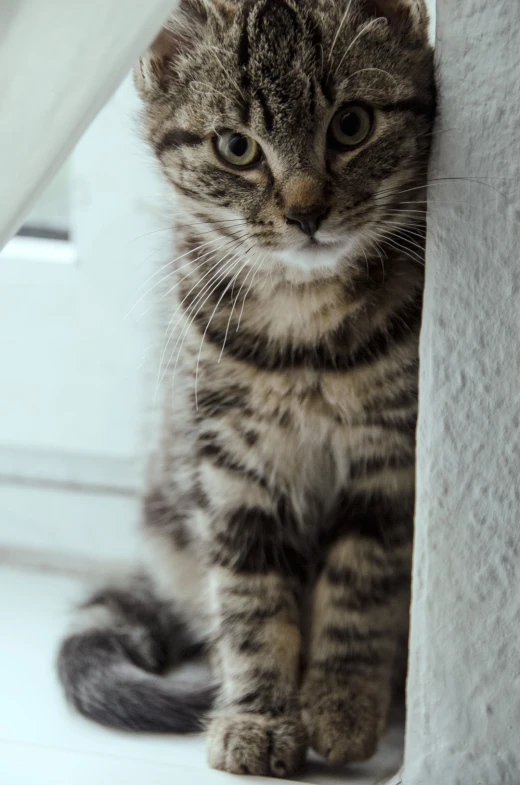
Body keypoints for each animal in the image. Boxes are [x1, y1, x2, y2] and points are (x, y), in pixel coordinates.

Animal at [59, 0, 436, 772]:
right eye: (236, 147)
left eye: (352, 124)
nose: (306, 212)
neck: (303, 331)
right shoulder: (231, 465)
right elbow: (251, 601)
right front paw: (258, 716)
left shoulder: (390, 462)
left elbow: (362, 586)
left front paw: (343, 703)